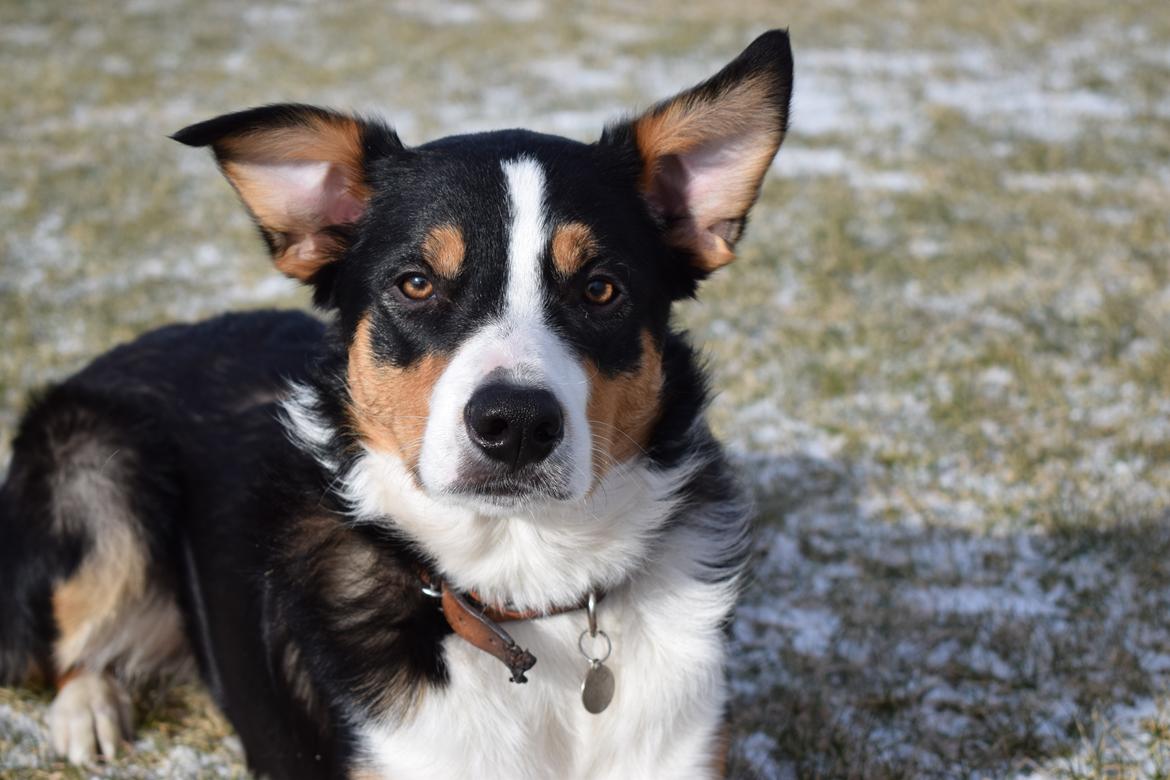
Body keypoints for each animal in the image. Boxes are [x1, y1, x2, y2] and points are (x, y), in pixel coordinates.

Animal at [0, 32, 795, 780]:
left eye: (601, 289)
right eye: (416, 283)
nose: (516, 425)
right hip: (100, 470)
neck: (520, 595)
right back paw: (87, 711)